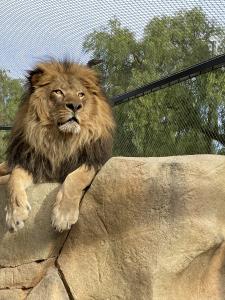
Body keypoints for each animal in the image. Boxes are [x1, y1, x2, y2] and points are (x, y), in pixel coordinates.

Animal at [0, 58, 115, 232]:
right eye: (58, 92)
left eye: (81, 94)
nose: (75, 106)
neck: (61, 140)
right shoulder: (33, 164)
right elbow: (14, 178)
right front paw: (15, 213)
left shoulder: (94, 161)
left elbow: (75, 177)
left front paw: (63, 215)